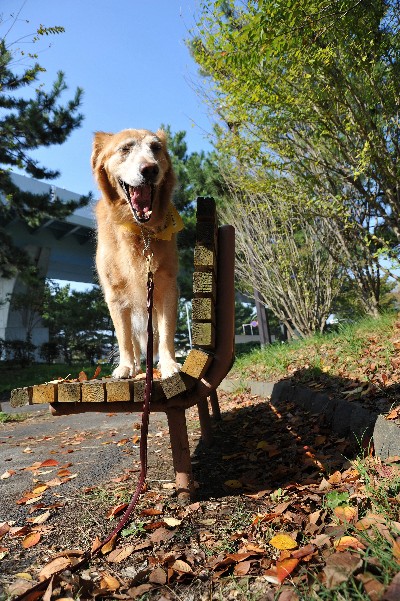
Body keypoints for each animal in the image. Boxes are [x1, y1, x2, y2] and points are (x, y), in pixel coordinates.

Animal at [90, 128, 183, 378]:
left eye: (156, 148)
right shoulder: (115, 296)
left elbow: (167, 331)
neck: (140, 231)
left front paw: (169, 364)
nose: (150, 169)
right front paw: (125, 367)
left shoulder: (167, 287)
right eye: (125, 149)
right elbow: (124, 338)